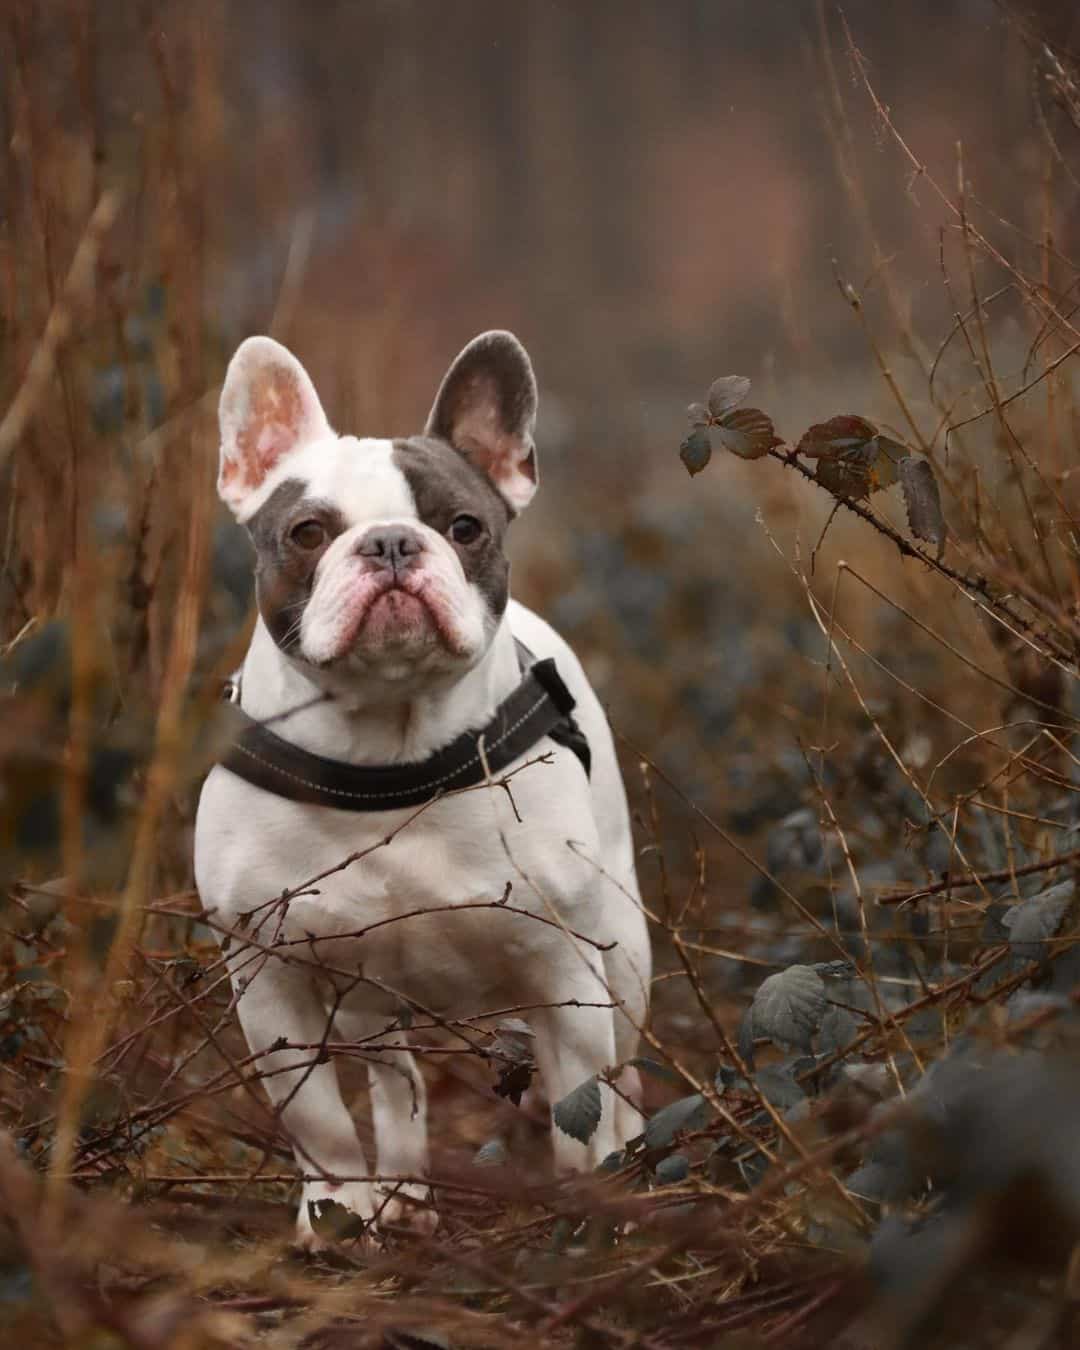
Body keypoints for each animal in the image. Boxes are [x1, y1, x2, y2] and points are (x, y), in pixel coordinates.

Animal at [193, 326, 650, 1242]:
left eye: (465, 526)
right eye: (307, 532)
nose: (393, 542)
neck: (386, 749)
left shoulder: (566, 973)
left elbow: (579, 1108)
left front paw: (585, 1208)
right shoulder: (270, 981)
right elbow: (319, 1119)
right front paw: (333, 1217)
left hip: (623, 954)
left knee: (627, 1080)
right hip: (371, 1002)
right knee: (394, 1083)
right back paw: (401, 1198)